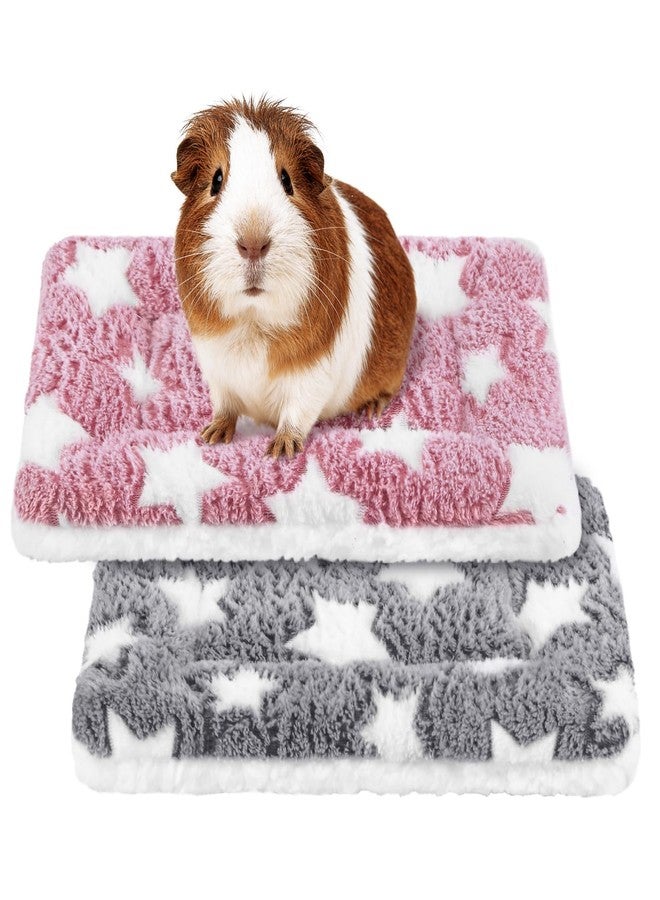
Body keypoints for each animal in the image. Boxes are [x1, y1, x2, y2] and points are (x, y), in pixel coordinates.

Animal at [172, 97, 417, 458]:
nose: (253, 243)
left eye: (287, 181)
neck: (254, 322)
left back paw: (371, 409)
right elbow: (225, 406)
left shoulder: (313, 374)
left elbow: (297, 413)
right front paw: (211, 435)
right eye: (216, 181)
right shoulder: (216, 368)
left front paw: (281, 450)